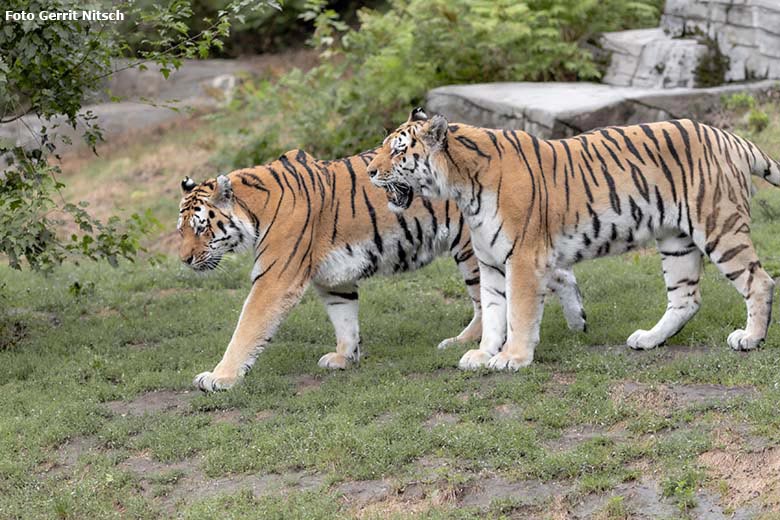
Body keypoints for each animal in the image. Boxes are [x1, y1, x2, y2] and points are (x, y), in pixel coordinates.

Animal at [180, 146, 588, 390]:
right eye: (180, 229)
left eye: (200, 227)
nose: (184, 260)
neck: (254, 209)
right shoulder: (334, 279)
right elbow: (344, 318)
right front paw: (345, 357)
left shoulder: (275, 279)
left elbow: (247, 328)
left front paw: (219, 377)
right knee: (558, 274)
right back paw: (578, 322)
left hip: (474, 249)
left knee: (489, 300)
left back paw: (467, 343)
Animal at [368, 107, 780, 372]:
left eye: (398, 150)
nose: (370, 170)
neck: (461, 185)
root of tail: (729, 137)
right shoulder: (490, 263)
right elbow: (494, 312)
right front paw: (483, 355)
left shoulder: (522, 258)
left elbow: (518, 313)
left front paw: (512, 358)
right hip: (675, 239)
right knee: (686, 299)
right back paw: (649, 339)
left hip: (719, 225)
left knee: (759, 280)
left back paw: (750, 338)